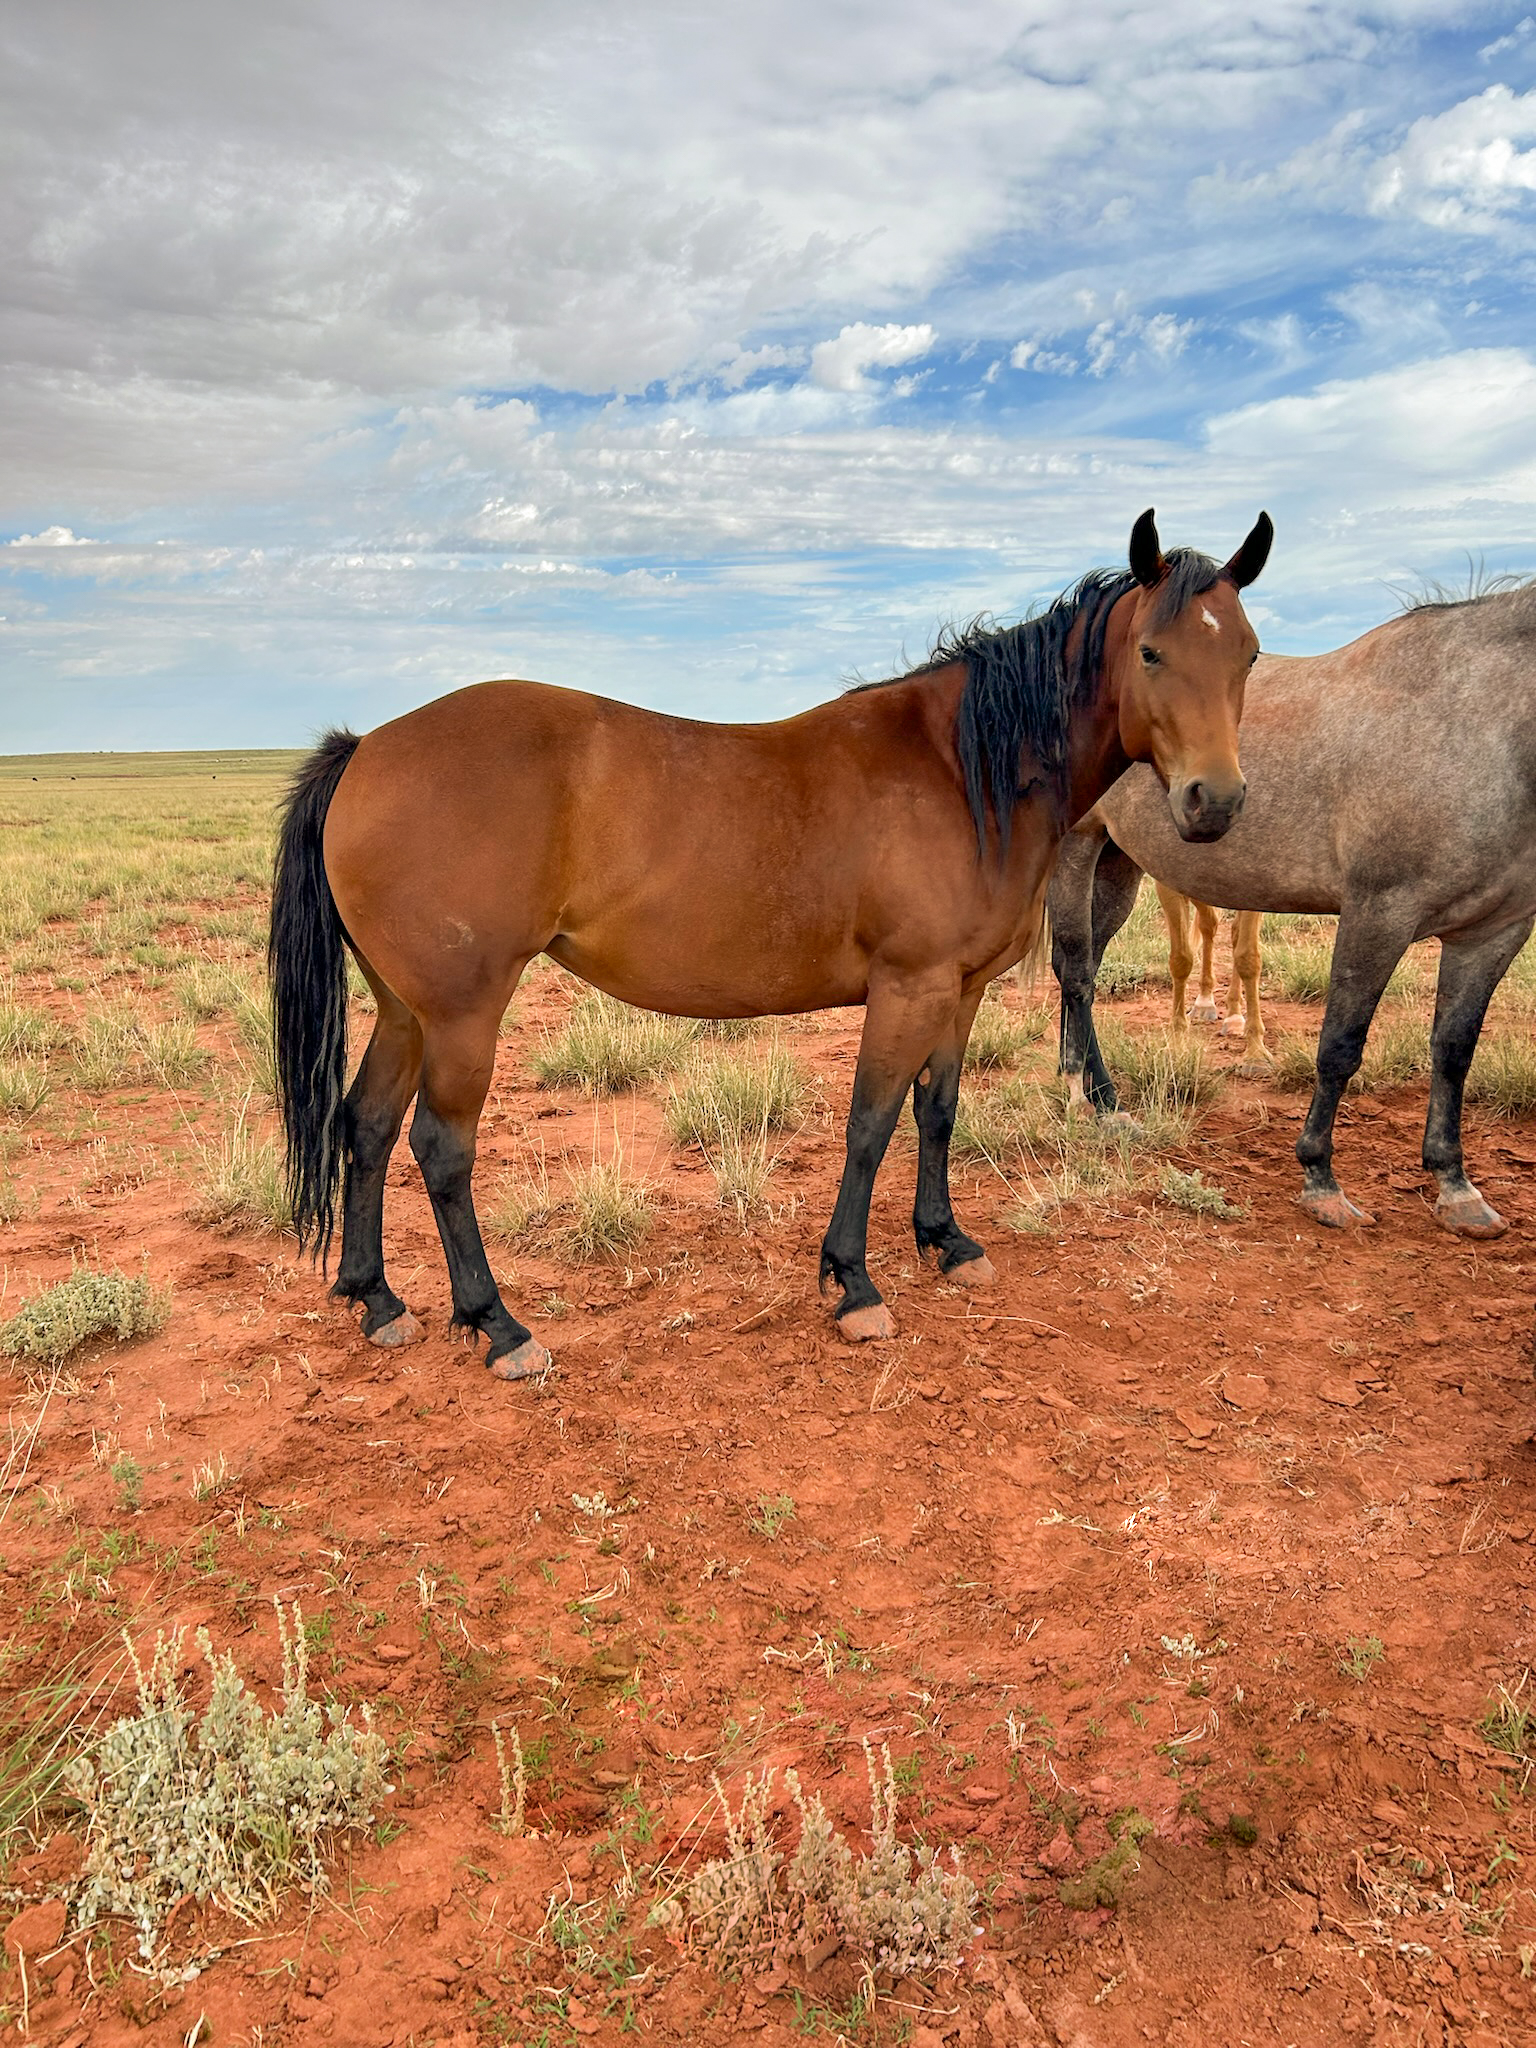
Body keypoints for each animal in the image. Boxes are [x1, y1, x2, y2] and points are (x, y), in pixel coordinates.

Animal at [1155, 886, 1268, 1070]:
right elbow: (1181, 959)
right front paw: (1176, 1045)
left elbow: (1247, 959)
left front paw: (1256, 1053)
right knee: (1210, 923)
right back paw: (1205, 1001)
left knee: (1235, 934)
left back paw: (1234, 1016)